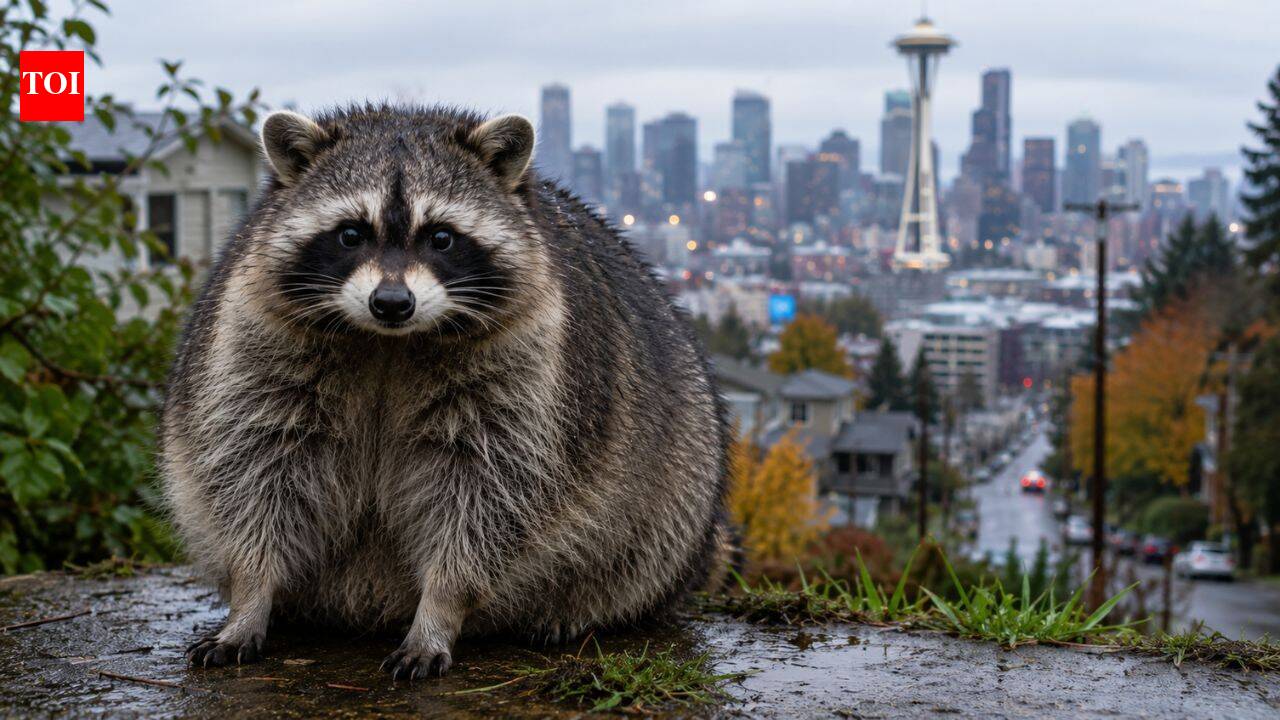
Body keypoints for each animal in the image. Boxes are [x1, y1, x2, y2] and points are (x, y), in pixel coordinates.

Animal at [160, 104, 731, 679]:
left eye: (441, 237)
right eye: (350, 234)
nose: (392, 303)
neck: (388, 343)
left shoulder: (530, 364)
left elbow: (491, 493)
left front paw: (440, 607)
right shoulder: (257, 338)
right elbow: (255, 471)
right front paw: (251, 593)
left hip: (679, 493)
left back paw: (579, 609)